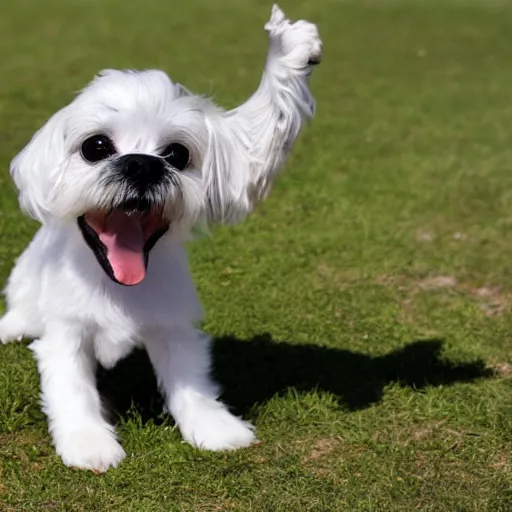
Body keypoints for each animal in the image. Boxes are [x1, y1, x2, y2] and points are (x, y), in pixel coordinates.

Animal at [0, 5, 320, 472]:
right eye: (96, 146)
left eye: (177, 154)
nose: (142, 165)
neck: (117, 287)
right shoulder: (67, 331)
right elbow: (72, 390)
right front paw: (88, 443)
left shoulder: (173, 326)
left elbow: (191, 383)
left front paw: (215, 428)